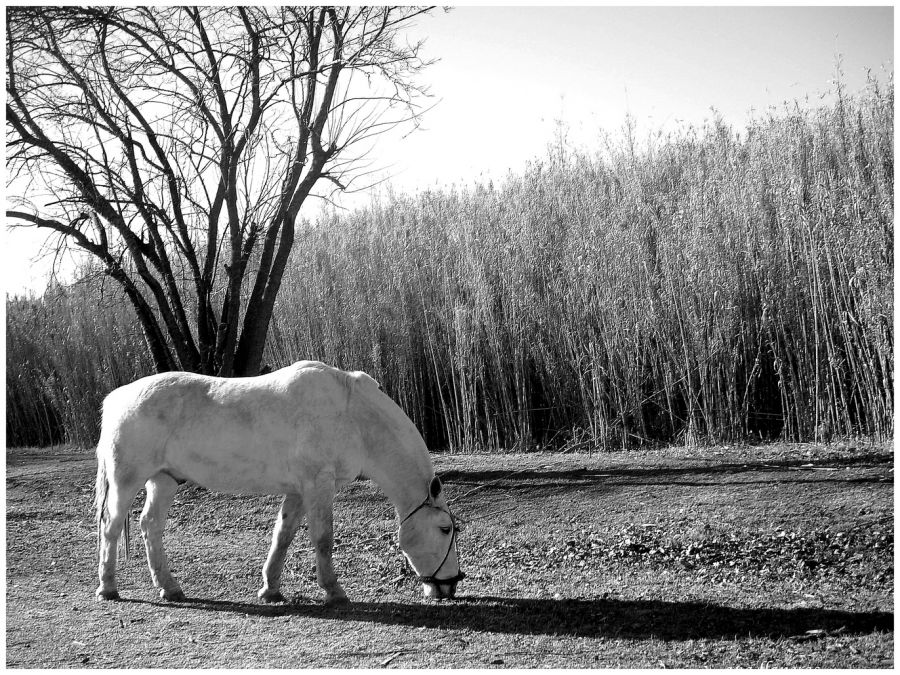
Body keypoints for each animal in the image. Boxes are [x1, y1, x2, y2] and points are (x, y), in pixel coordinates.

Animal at [93, 362, 464, 604]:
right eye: (445, 529)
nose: (450, 585)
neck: (353, 415)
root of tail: (116, 398)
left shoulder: (298, 490)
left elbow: (282, 536)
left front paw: (271, 588)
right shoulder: (318, 485)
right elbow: (323, 539)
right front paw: (334, 591)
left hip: (164, 480)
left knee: (150, 525)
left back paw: (170, 588)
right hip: (128, 480)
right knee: (111, 527)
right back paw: (108, 587)